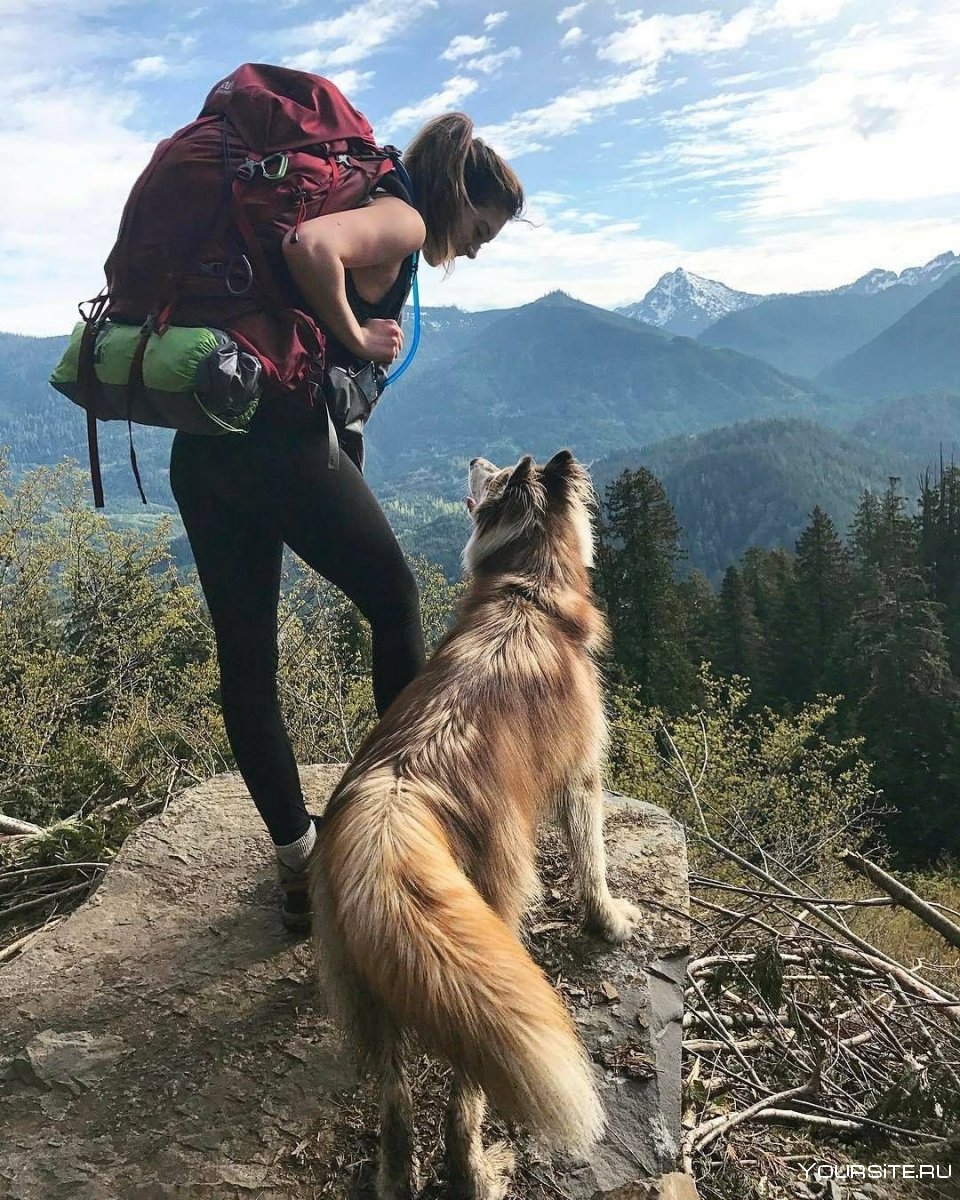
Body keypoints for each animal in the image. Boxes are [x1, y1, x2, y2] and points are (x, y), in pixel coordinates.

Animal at [312, 451, 643, 1200]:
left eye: (489, 475)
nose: (475, 458)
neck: (529, 591)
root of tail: (393, 808)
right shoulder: (582, 774)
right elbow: (593, 858)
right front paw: (608, 919)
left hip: (379, 987)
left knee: (397, 1110)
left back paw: (397, 1179)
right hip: (487, 939)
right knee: (461, 1103)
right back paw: (483, 1171)